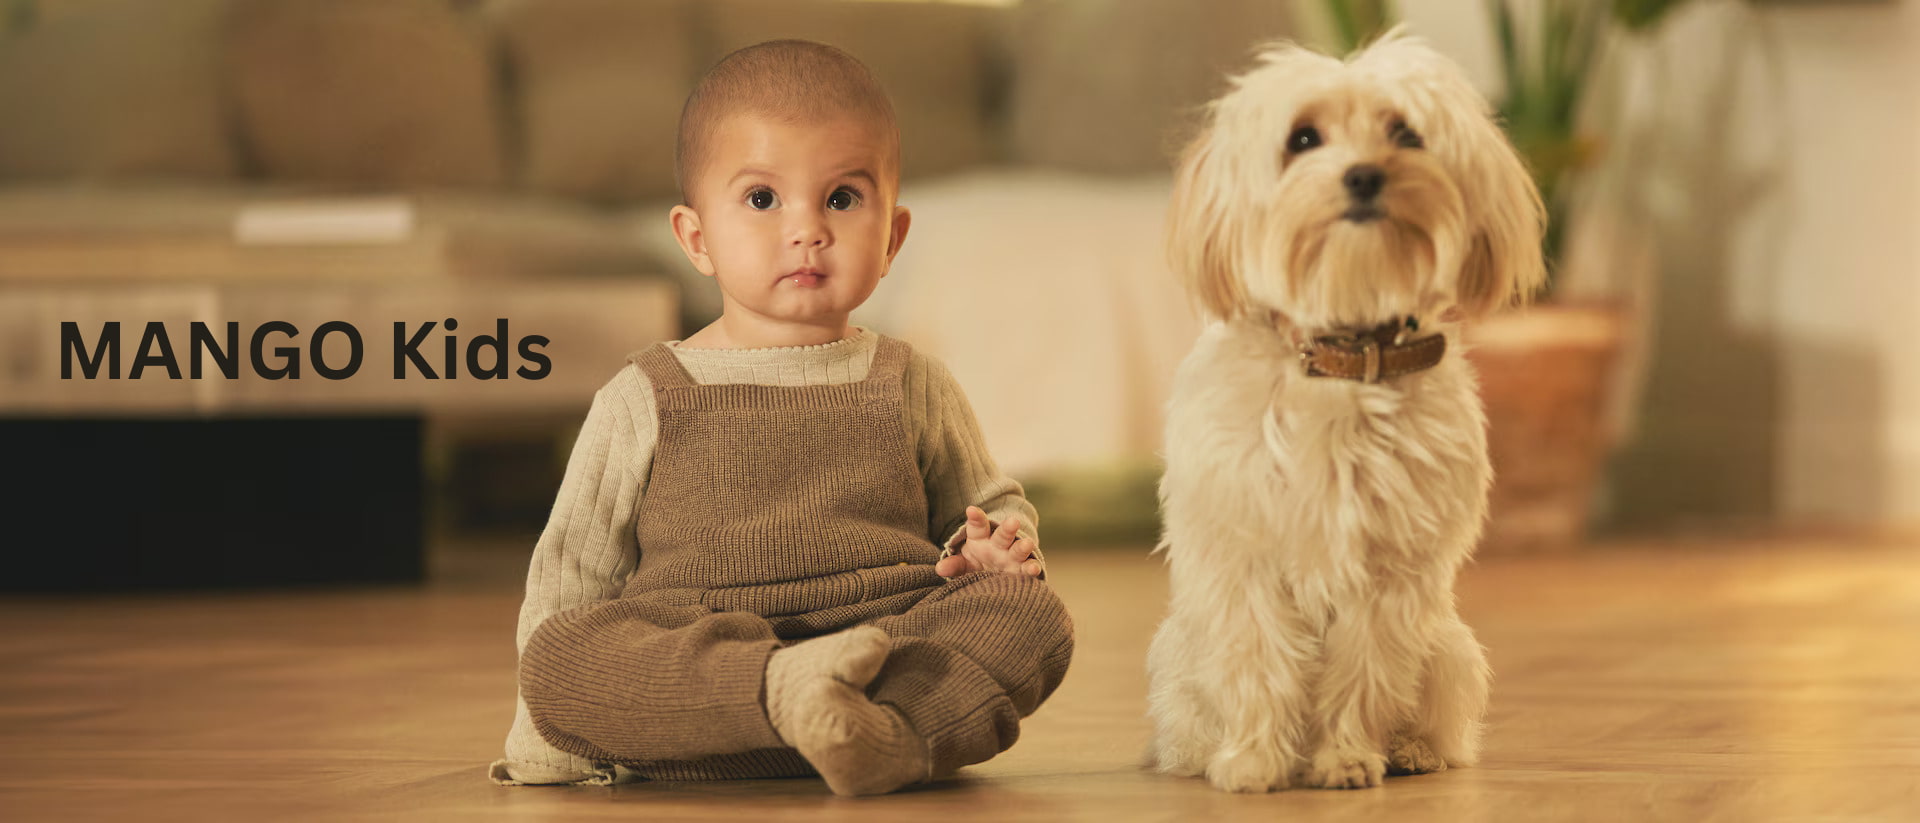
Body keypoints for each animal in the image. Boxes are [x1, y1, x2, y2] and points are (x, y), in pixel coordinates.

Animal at [1136, 30, 1543, 790]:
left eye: (1406, 133)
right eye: (1303, 138)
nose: (1363, 176)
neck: (1341, 356)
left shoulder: (1388, 573)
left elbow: (1365, 669)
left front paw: (1348, 755)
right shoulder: (1246, 558)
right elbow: (1257, 660)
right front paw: (1253, 759)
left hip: (1449, 649)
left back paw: (1412, 748)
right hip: (1181, 661)